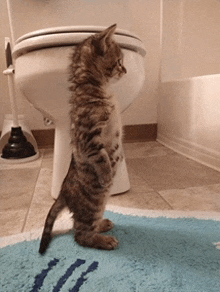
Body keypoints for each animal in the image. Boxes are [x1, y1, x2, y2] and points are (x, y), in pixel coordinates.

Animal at [38, 24, 126, 254]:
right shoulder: (88, 140)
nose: (125, 70)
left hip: (99, 204)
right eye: (119, 61)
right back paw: (103, 240)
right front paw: (107, 173)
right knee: (80, 234)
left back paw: (103, 224)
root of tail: (63, 191)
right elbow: (103, 158)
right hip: (92, 203)